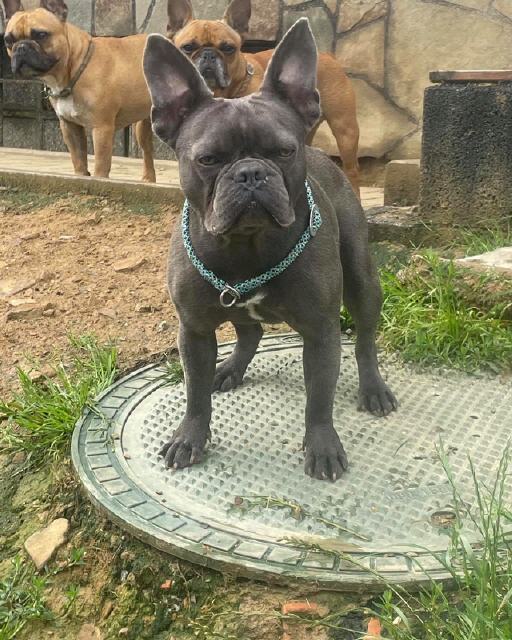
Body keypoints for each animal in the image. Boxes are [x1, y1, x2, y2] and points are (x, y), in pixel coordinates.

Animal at [3, 0, 155, 182]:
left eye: (41, 35)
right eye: (8, 40)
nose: (21, 47)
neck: (74, 68)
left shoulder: (102, 128)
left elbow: (101, 164)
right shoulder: (70, 126)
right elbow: (78, 159)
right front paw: (80, 177)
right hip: (143, 125)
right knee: (147, 151)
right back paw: (149, 179)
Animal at [166, 0, 360, 197]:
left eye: (228, 48)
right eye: (187, 47)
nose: (208, 54)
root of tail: (328, 55)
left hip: (345, 130)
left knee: (352, 169)